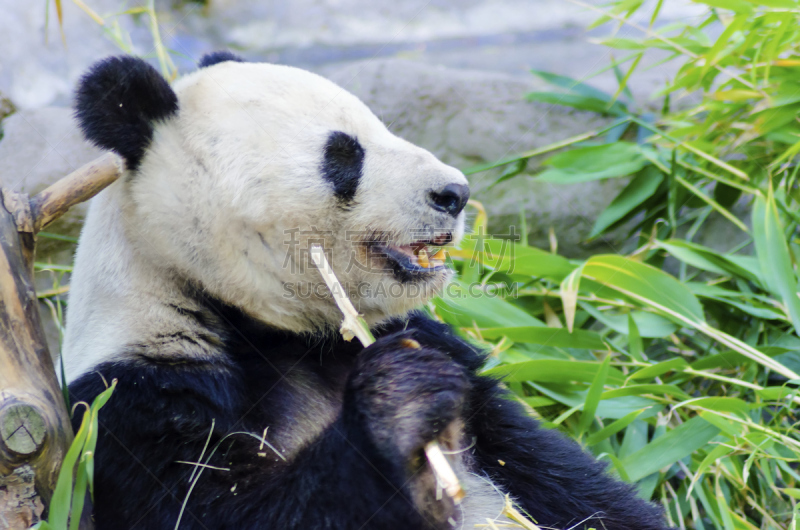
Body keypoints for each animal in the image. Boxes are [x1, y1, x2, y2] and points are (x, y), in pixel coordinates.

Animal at [64, 52, 668, 528]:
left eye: (383, 128)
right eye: (344, 155)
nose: (455, 193)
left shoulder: (430, 342)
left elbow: (546, 469)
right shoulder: (134, 401)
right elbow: (220, 510)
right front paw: (399, 402)